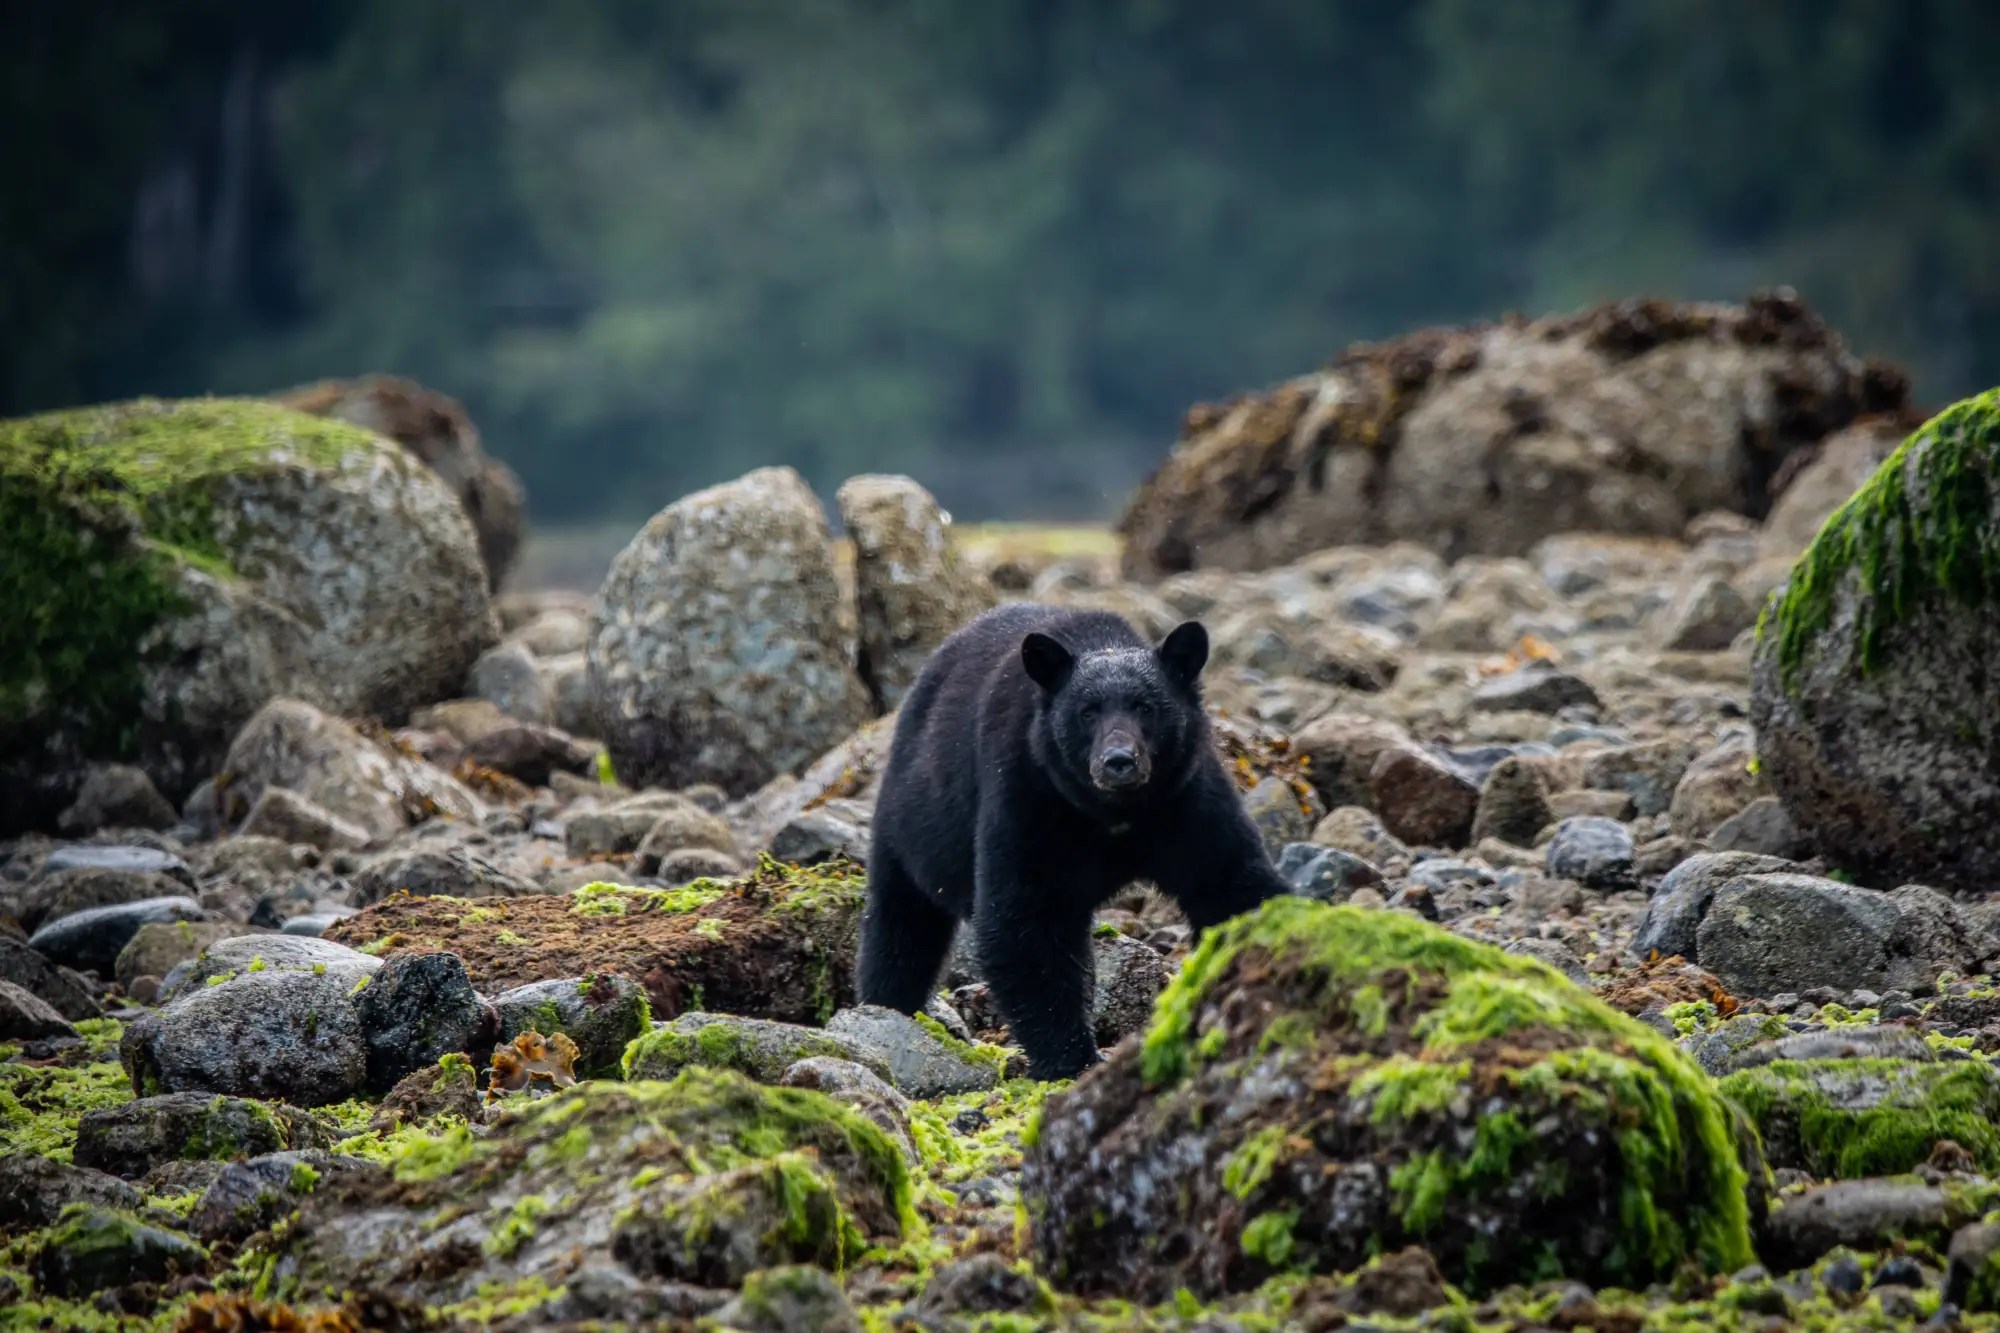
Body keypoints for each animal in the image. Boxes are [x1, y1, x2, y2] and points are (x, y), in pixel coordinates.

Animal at [856, 601, 1291, 1080]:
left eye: (1146, 706)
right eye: (1087, 711)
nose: (1118, 761)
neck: (1115, 815)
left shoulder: (1187, 798)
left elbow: (1228, 882)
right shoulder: (1028, 797)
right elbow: (1024, 921)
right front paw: (1069, 1058)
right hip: (914, 825)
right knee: (902, 924)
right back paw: (885, 1005)